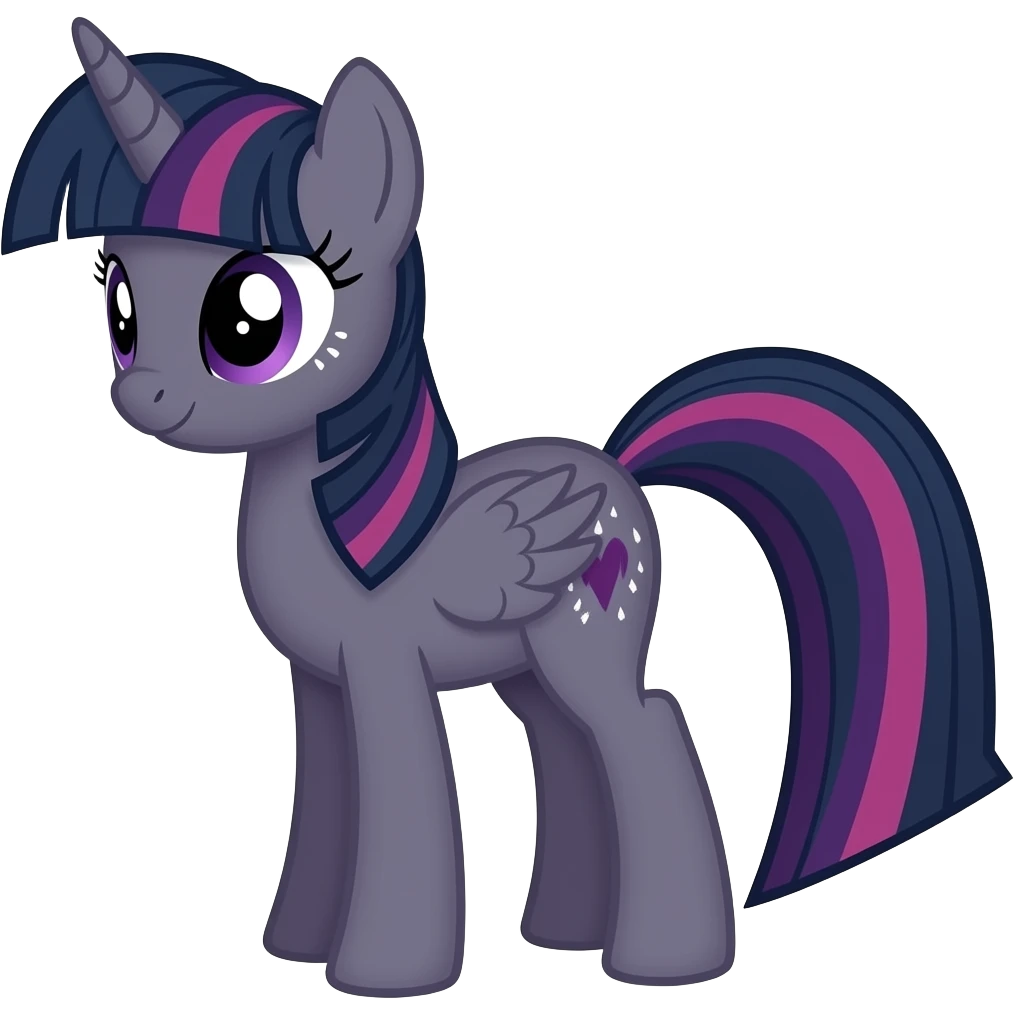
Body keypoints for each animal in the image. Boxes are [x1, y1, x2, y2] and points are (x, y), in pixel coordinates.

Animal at [2, 17, 1006, 998]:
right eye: (122, 310)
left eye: (250, 323)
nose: (146, 397)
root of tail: (618, 470)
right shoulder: (318, 687)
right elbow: (327, 800)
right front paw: (294, 946)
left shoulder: (381, 668)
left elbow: (403, 792)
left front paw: (385, 974)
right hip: (529, 664)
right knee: (567, 748)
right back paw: (562, 934)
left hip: (586, 644)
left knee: (643, 724)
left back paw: (666, 963)